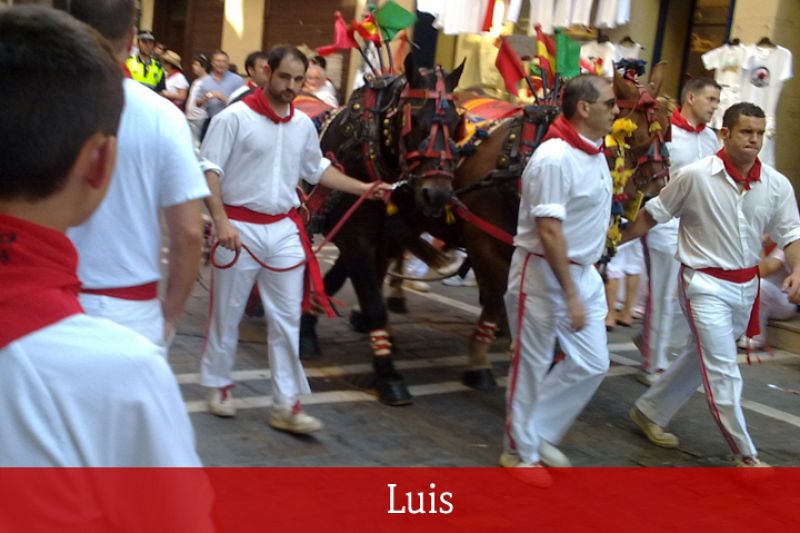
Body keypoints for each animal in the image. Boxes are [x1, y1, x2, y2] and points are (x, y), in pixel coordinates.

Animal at [298, 53, 462, 404]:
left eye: (456, 122)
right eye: (418, 120)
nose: (437, 195)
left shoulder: (382, 238)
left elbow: (340, 281)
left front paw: (307, 326)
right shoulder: (355, 237)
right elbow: (374, 305)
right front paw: (388, 375)